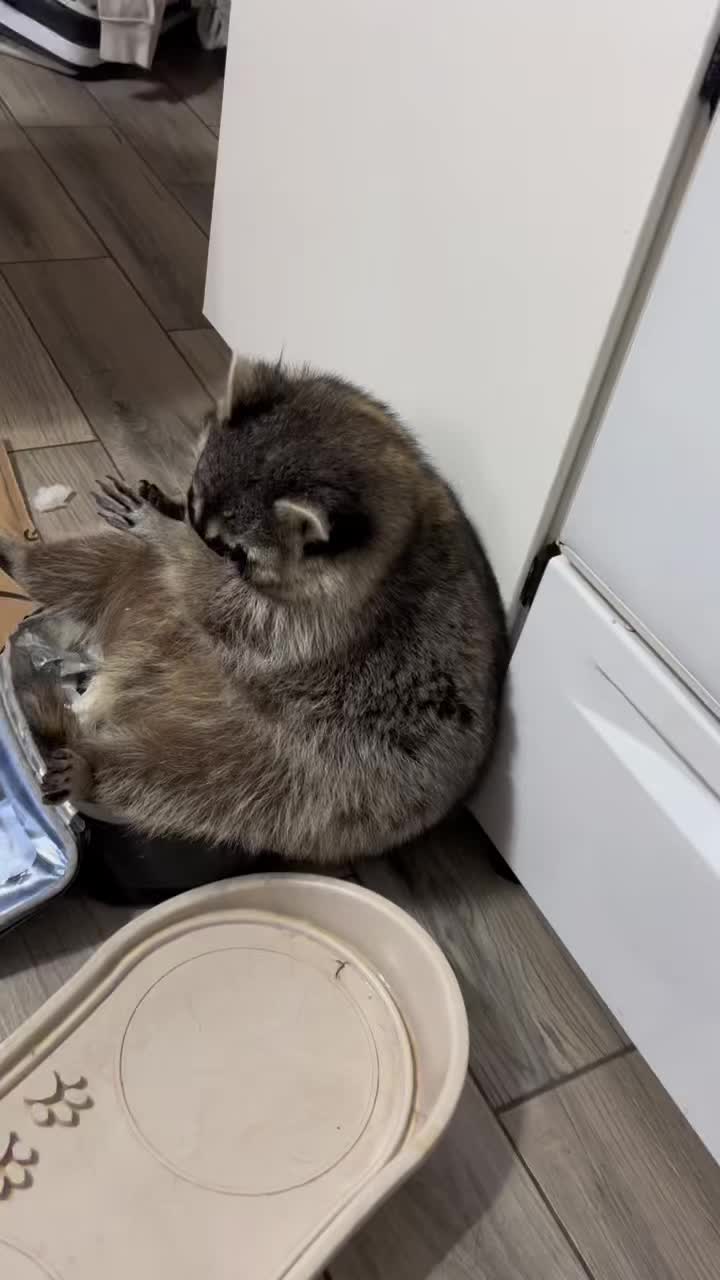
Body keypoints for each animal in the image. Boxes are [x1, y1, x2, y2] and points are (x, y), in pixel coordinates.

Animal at [0, 359, 507, 862]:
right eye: (193, 502)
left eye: (232, 549)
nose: (187, 528)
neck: (407, 518)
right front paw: (164, 506)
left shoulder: (327, 622)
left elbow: (222, 602)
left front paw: (164, 530)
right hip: (140, 597)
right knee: (101, 562)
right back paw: (23, 561)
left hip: (316, 771)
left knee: (196, 779)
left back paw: (96, 769)